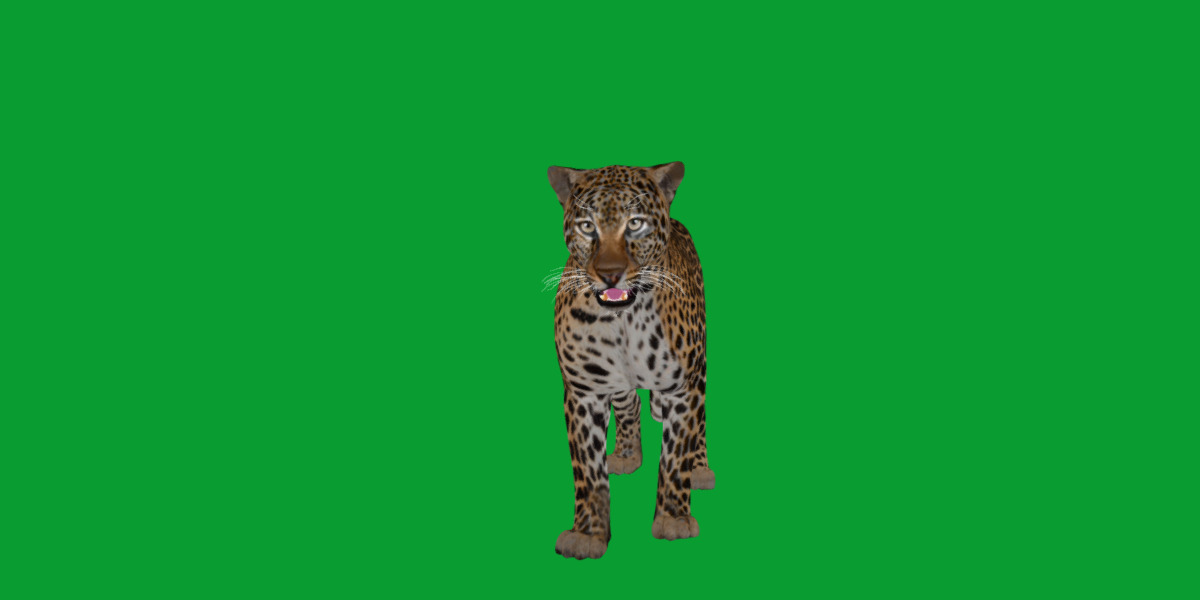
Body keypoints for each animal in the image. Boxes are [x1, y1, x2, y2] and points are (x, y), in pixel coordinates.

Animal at [547, 161, 713, 560]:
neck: (622, 320)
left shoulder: (681, 390)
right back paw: (625, 453)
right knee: (629, 403)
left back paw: (701, 469)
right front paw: (587, 534)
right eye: (587, 226)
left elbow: (675, 456)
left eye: (635, 223)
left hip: (699, 366)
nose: (610, 273)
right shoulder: (584, 391)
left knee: (700, 421)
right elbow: (587, 468)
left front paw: (673, 519)